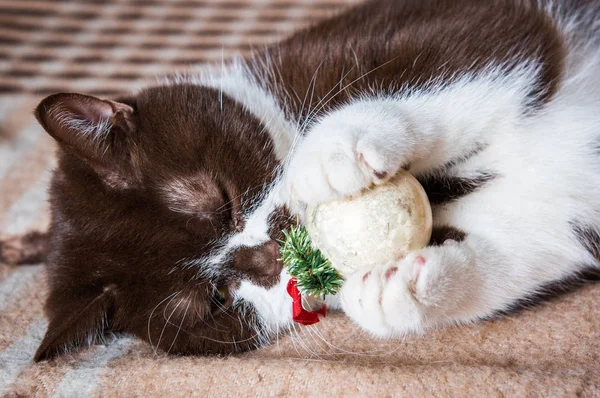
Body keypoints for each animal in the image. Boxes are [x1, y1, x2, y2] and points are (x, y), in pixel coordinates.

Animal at [14, 0, 600, 360]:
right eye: (217, 299)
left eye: (221, 201)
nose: (271, 255)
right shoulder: (556, 216)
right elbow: (535, 240)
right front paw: (399, 292)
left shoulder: (467, 21)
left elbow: (474, 57)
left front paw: (333, 150)